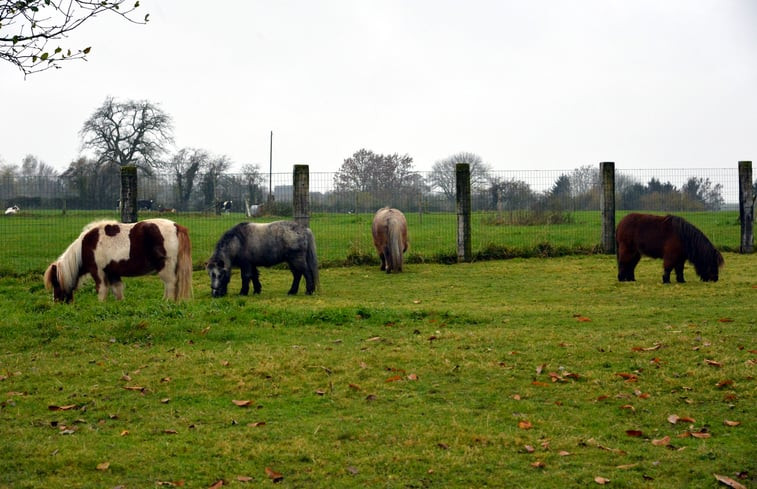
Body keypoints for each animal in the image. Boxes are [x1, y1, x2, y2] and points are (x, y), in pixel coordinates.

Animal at [43, 218, 192, 302]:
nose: (57, 302)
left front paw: (100, 305)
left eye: (55, 282)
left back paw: (167, 302)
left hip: (165, 267)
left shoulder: (98, 272)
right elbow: (117, 290)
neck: (86, 245)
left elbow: (101, 290)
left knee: (170, 284)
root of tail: (176, 226)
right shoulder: (112, 273)